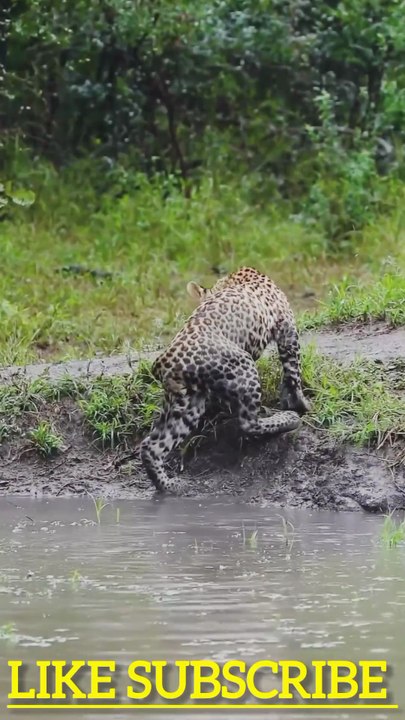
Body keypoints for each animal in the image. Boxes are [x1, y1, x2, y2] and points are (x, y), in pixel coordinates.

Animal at [140, 266, 310, 492]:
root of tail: (164, 363)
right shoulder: (286, 325)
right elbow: (293, 369)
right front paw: (301, 403)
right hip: (244, 365)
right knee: (249, 424)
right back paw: (288, 418)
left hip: (187, 403)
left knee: (152, 445)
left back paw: (170, 486)